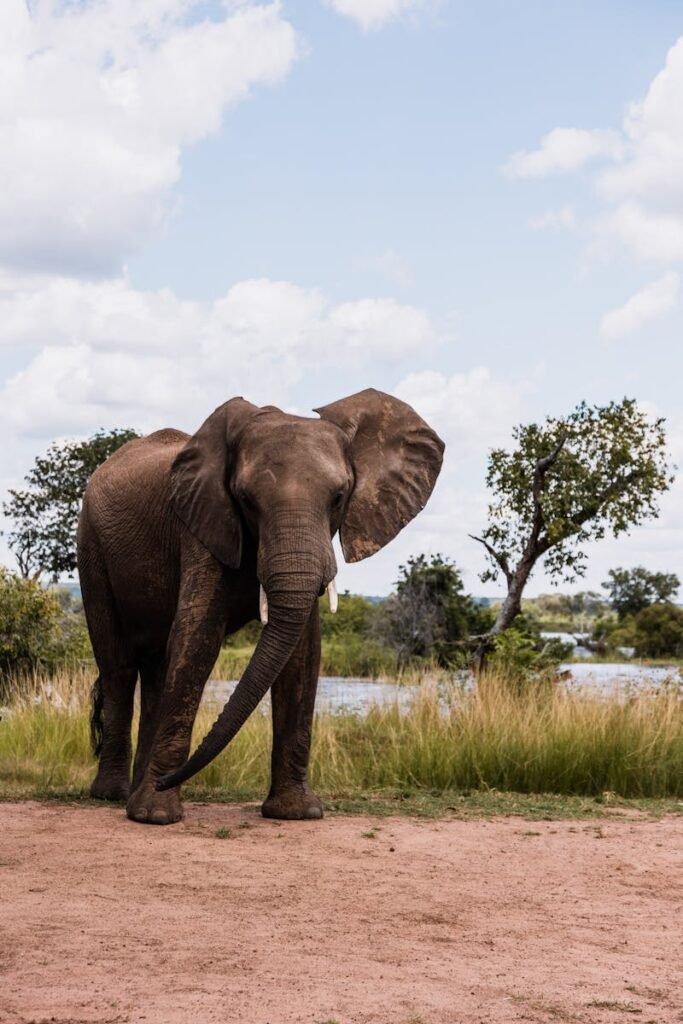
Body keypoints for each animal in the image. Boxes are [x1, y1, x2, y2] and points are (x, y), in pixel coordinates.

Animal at [77, 388, 444, 825]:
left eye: (339, 497)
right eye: (246, 500)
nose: (167, 781)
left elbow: (302, 653)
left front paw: (296, 813)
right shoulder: (201, 523)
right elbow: (198, 636)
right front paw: (154, 816)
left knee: (156, 668)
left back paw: (132, 791)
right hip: (90, 544)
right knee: (117, 665)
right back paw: (114, 795)